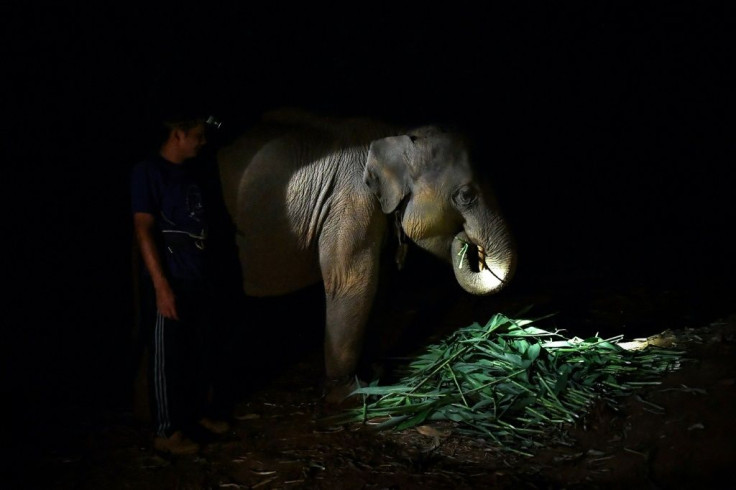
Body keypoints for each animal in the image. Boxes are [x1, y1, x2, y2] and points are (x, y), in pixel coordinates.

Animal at [217, 109, 516, 404]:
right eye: (466, 195)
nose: (466, 241)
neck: (397, 134)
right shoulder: (351, 199)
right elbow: (353, 281)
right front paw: (349, 393)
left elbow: (379, 283)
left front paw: (373, 373)